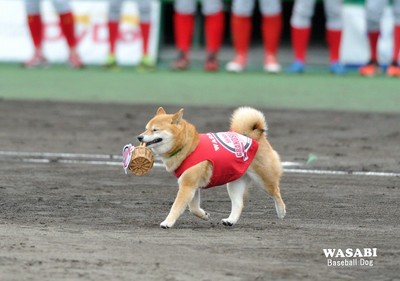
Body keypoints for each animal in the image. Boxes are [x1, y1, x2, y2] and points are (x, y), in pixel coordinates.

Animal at [138, 105, 288, 228]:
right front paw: (204, 215)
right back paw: (230, 220)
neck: (189, 147)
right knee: (238, 204)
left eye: (155, 130)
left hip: (264, 179)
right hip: (234, 183)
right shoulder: (192, 186)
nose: (139, 137)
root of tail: (253, 136)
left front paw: (167, 222)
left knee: (276, 192)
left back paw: (281, 211)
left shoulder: (187, 186)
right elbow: (193, 208)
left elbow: (176, 207)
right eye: (146, 129)